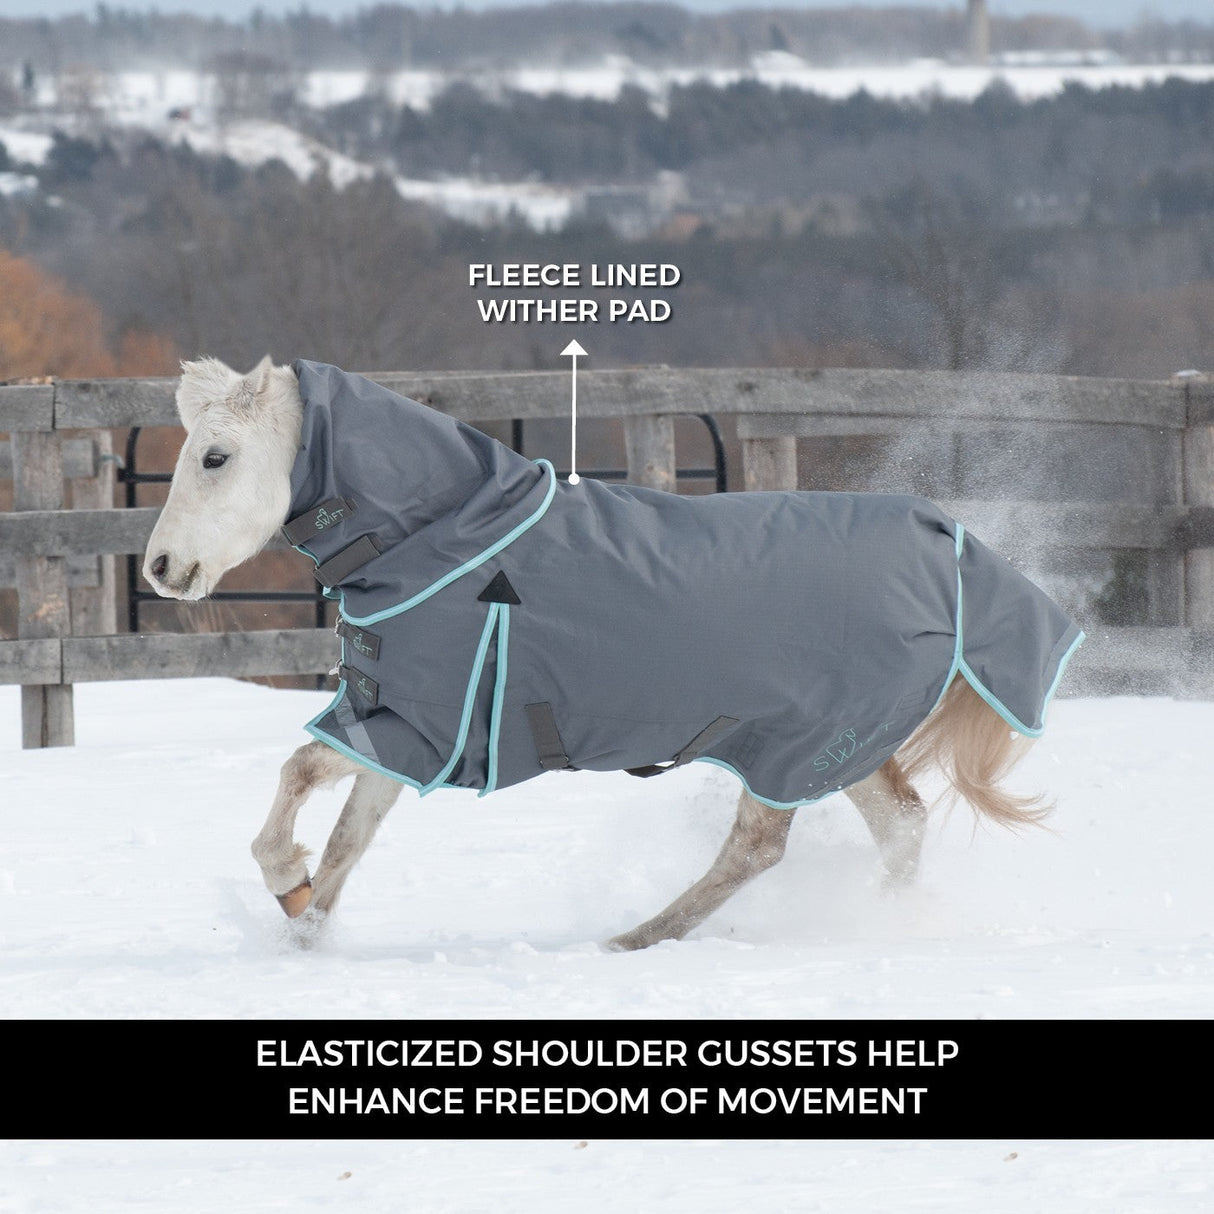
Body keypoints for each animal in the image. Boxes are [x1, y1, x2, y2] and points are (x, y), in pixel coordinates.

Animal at [143, 356, 1081, 951]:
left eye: (216, 456)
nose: (160, 568)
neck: (451, 540)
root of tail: (951, 550)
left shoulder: (426, 727)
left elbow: (302, 778)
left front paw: (286, 885)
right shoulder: (398, 726)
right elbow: (341, 839)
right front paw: (302, 923)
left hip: (798, 747)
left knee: (757, 850)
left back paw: (632, 940)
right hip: (841, 748)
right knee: (902, 828)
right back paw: (878, 920)